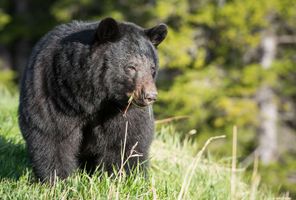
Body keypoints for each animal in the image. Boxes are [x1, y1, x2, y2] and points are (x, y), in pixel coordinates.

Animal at [17, 17, 166, 183]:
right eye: (131, 67)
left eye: (152, 68)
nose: (150, 95)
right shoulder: (54, 93)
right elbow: (53, 134)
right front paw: (58, 179)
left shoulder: (122, 111)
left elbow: (126, 140)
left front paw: (122, 178)